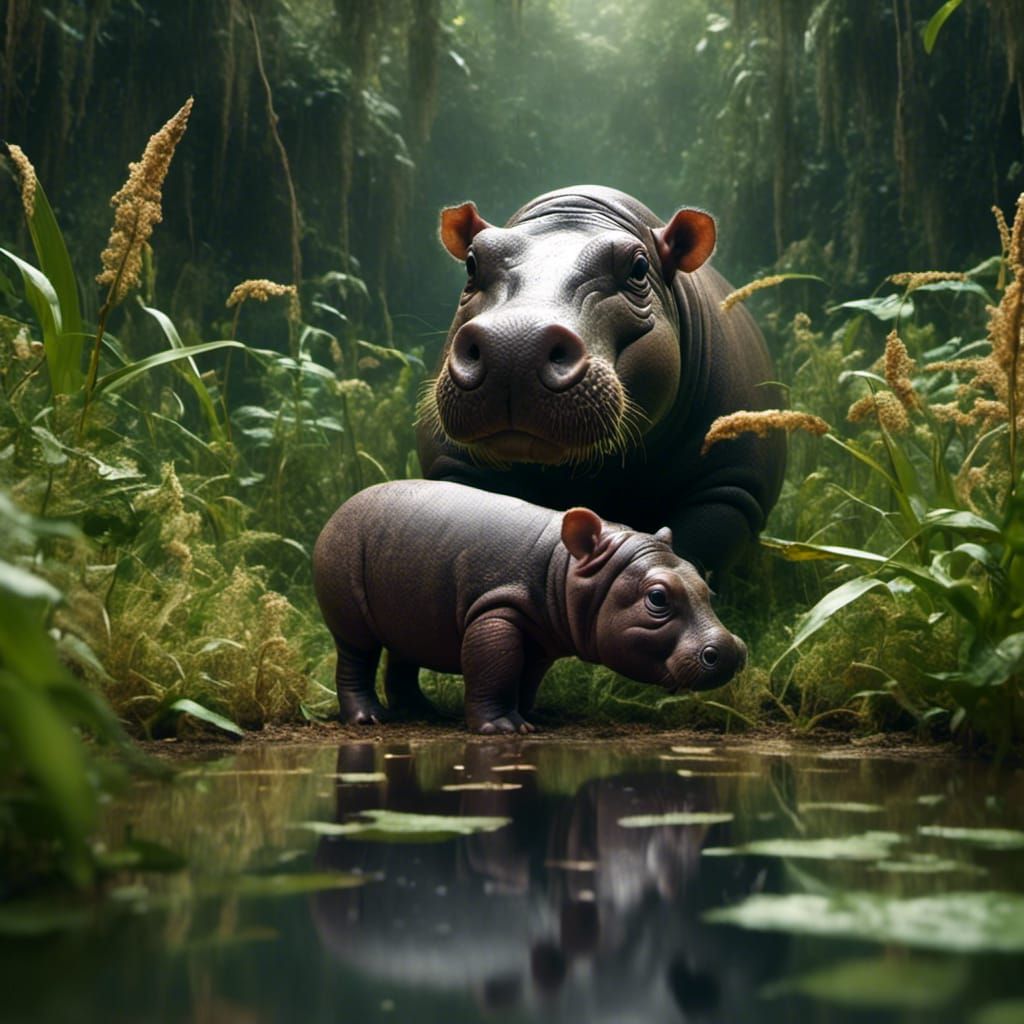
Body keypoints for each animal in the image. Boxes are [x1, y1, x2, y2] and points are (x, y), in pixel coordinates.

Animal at [312, 479, 745, 733]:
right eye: (657, 597)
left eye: (704, 586)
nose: (730, 650)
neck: (567, 567)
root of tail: (342, 506)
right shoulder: (496, 615)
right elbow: (495, 667)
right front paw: (505, 727)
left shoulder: (540, 638)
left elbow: (525, 677)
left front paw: (530, 717)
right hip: (350, 616)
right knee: (356, 662)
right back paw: (369, 718)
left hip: (411, 612)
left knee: (402, 661)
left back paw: (423, 713)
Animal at [416, 185, 786, 576]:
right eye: (472, 263)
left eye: (639, 268)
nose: (513, 345)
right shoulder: (453, 467)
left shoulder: (728, 489)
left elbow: (692, 551)